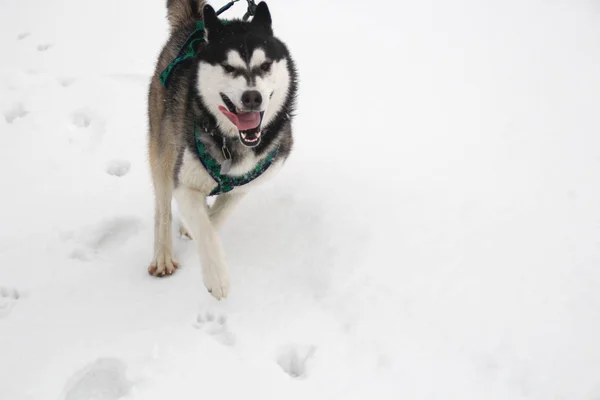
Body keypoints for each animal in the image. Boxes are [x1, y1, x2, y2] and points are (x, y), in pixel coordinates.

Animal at [148, 0, 298, 298]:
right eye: (228, 67)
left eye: (265, 65)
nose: (252, 97)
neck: (232, 144)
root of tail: (194, 23)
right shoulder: (184, 181)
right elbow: (203, 227)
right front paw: (216, 277)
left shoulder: (247, 182)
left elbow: (215, 218)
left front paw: (195, 225)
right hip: (163, 145)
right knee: (162, 207)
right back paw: (163, 255)